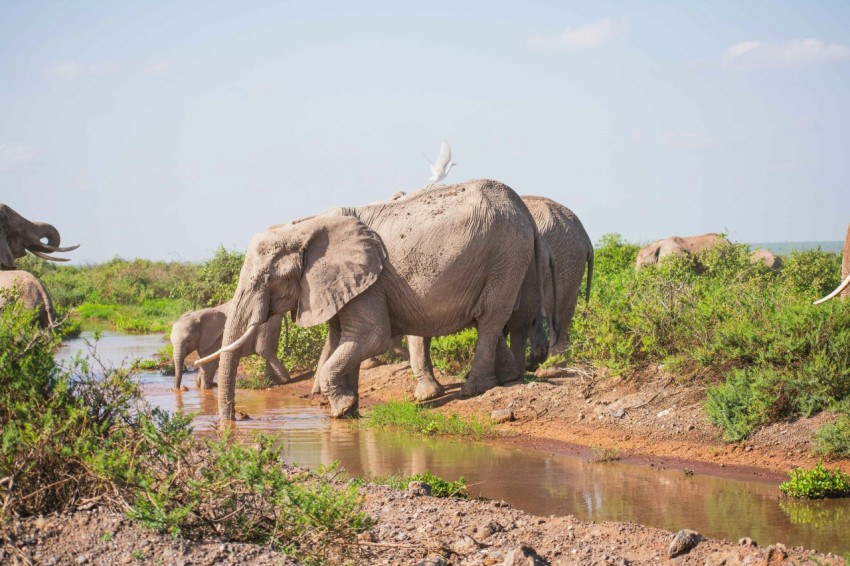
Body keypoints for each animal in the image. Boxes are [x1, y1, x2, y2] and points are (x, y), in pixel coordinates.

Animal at [199, 180, 548, 424]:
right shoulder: (345, 285)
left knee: (489, 317)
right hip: (510, 256)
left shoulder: (370, 283)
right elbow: (342, 339)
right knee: (500, 319)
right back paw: (509, 377)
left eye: (265, 280)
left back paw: (474, 389)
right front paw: (348, 409)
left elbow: (370, 336)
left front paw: (341, 409)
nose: (235, 421)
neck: (305, 229)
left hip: (505, 253)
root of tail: (524, 210)